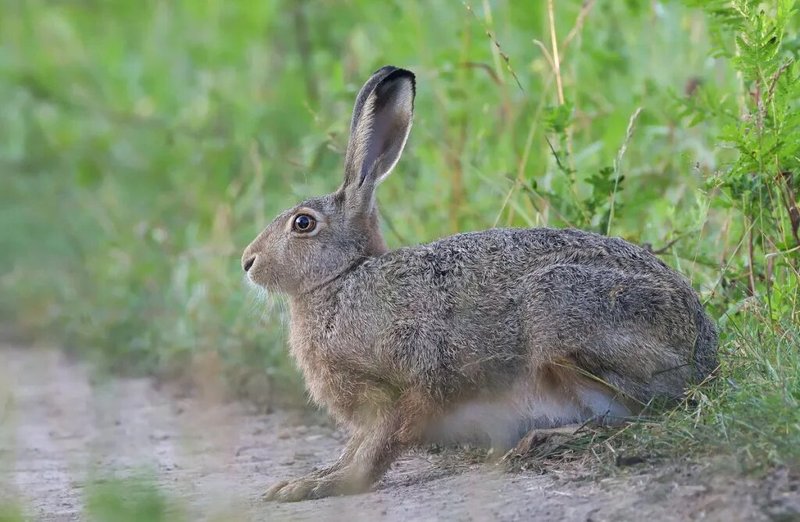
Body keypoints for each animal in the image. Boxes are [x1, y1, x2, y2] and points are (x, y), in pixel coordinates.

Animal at [241, 66, 718, 502]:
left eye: (303, 223)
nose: (247, 262)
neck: (343, 279)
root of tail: (702, 355)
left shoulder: (409, 382)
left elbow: (379, 449)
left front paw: (319, 487)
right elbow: (352, 449)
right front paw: (304, 480)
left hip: (561, 313)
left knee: (638, 412)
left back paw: (537, 440)